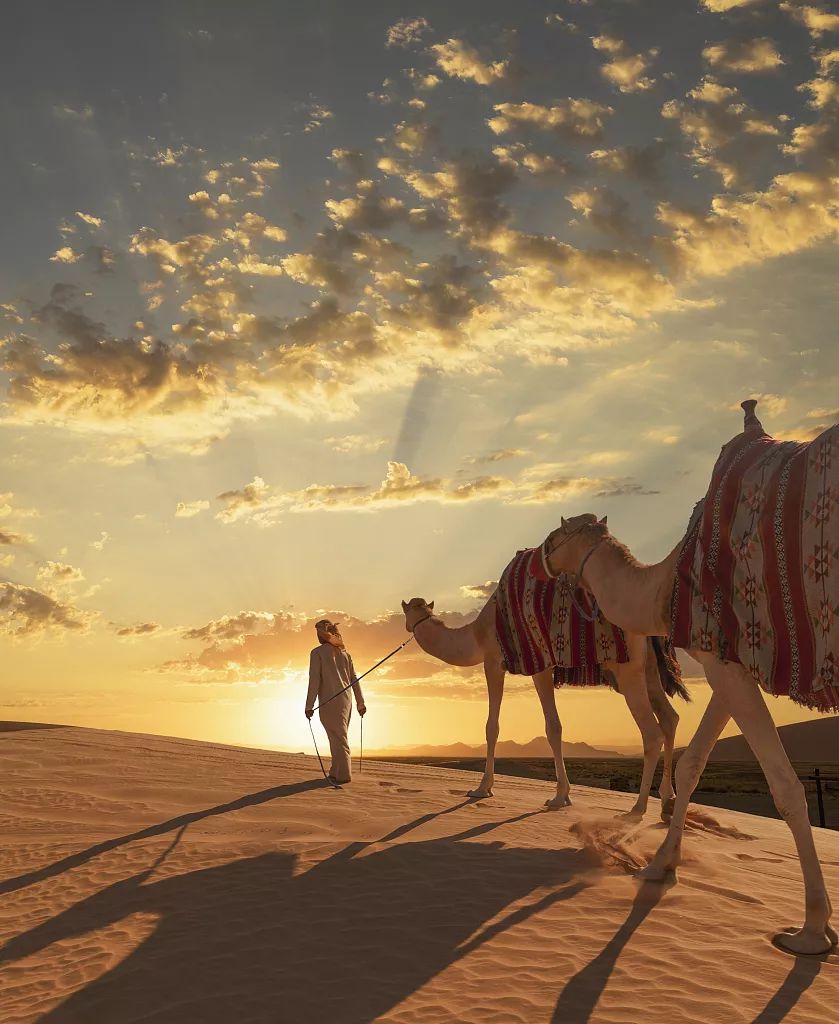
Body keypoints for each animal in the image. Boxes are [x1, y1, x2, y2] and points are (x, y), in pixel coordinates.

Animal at [403, 593, 684, 815]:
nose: (407, 626)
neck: (475, 635)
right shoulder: (539, 666)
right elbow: (553, 726)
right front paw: (562, 795)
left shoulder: (496, 661)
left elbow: (498, 727)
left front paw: (483, 788)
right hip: (649, 670)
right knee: (670, 717)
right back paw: (667, 799)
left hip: (627, 669)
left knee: (651, 732)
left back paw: (638, 807)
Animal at [536, 397, 839, 950]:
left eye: (555, 535)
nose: (536, 560)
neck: (664, 586)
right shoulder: (727, 655)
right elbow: (695, 762)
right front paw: (661, 864)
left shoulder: (724, 649)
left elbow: (785, 786)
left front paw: (811, 927)